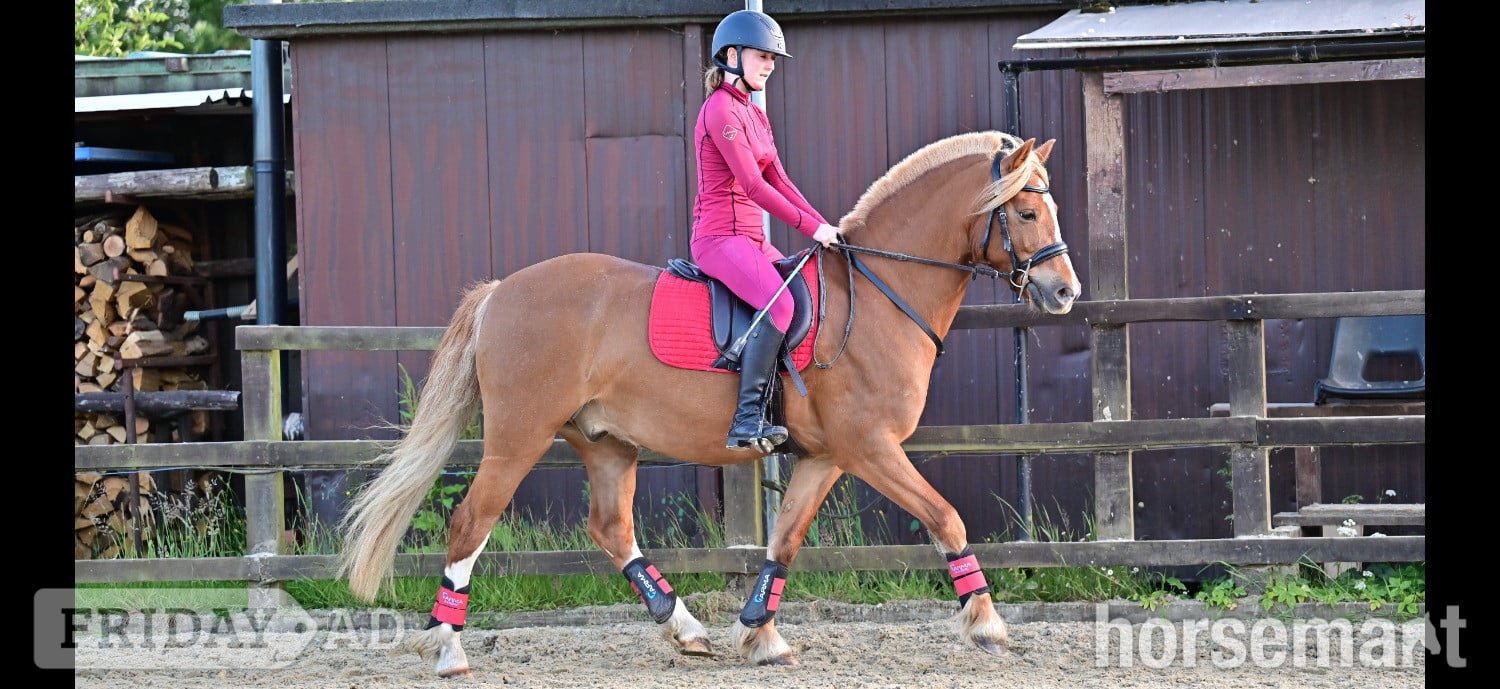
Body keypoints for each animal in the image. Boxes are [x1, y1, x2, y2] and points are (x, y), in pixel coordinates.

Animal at [336, 130, 1080, 678]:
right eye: (1024, 211)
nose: (1065, 292)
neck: (876, 294)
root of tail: (500, 291)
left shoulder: (826, 457)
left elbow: (784, 542)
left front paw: (762, 634)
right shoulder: (870, 447)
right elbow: (947, 517)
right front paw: (987, 623)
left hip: (605, 442)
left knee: (611, 528)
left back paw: (687, 629)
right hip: (518, 439)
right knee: (471, 523)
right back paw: (447, 648)